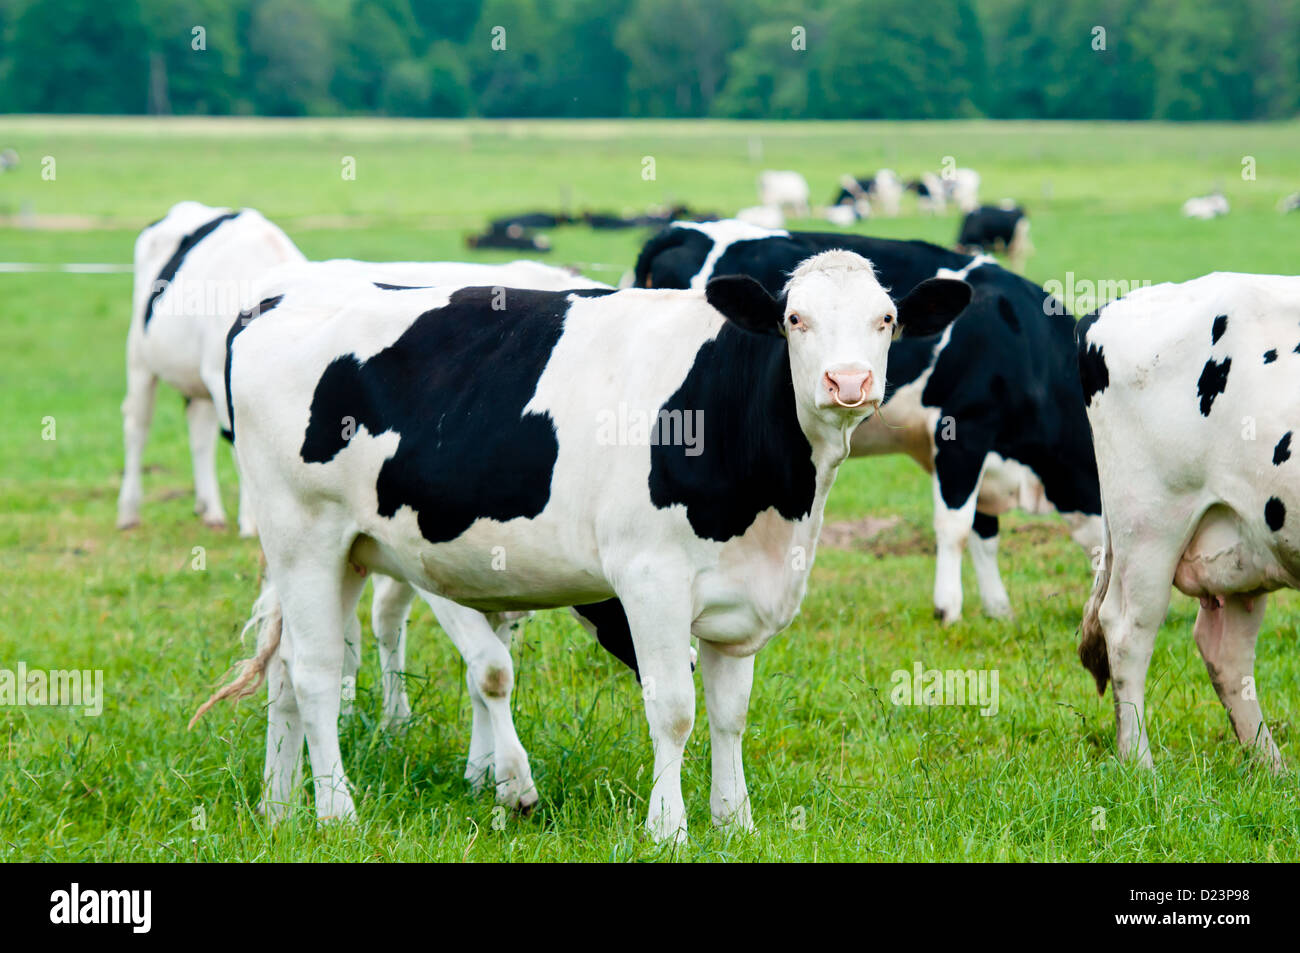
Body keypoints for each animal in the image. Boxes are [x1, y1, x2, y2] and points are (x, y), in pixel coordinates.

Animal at [118, 201, 307, 534]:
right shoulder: (221, 380)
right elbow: (239, 446)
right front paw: (252, 522)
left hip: (195, 378)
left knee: (199, 434)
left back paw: (210, 510)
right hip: (140, 358)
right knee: (137, 427)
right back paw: (129, 512)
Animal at [194, 252, 971, 841]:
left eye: (886, 318)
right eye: (794, 319)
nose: (849, 382)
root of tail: (276, 296)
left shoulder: (741, 597)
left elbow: (731, 713)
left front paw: (735, 821)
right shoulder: (650, 578)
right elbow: (674, 708)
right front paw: (668, 828)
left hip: (345, 548)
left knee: (286, 670)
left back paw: (279, 807)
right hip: (302, 533)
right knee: (317, 673)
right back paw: (337, 812)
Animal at [635, 220, 1102, 624]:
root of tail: (681, 229)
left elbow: (985, 531)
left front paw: (999, 610)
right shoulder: (964, 429)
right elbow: (956, 527)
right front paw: (948, 610)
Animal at [1077, 274, 1300, 770]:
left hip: (1246, 541)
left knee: (1226, 652)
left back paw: (1270, 768)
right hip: (1149, 523)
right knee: (1126, 630)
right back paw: (1139, 764)